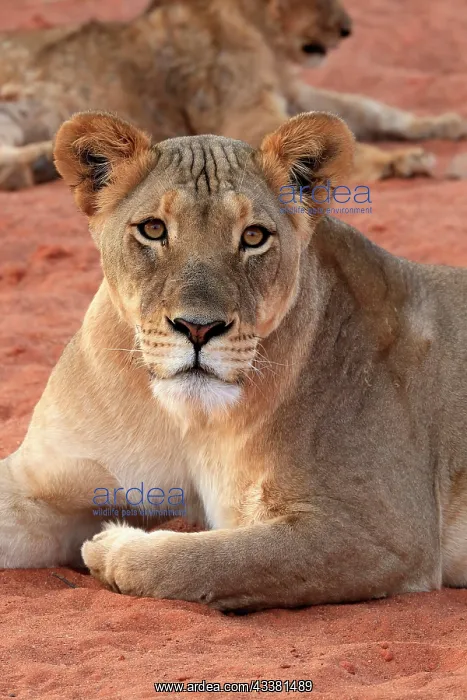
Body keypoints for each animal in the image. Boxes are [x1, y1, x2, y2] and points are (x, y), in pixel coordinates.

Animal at [0, 0, 465, 189]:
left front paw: (444, 122)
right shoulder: (243, 115)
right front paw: (400, 161)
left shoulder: (293, 91)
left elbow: (371, 109)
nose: (346, 29)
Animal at [0, 109, 466, 611]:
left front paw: (111, 549)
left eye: (254, 236)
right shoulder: (41, 476)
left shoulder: (387, 532)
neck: (190, 418)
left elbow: (205, 561)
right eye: (153, 229)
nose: (198, 328)